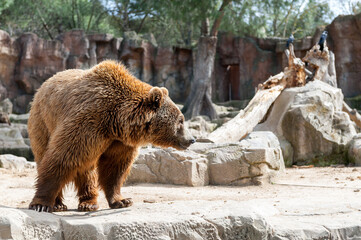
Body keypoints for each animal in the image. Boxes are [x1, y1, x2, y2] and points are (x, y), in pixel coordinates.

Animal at [27, 60, 197, 212]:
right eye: (181, 120)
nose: (192, 139)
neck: (116, 120)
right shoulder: (87, 123)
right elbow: (62, 158)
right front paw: (40, 204)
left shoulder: (119, 141)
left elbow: (115, 168)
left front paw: (122, 200)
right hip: (43, 123)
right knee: (47, 155)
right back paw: (59, 204)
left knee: (87, 169)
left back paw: (89, 203)